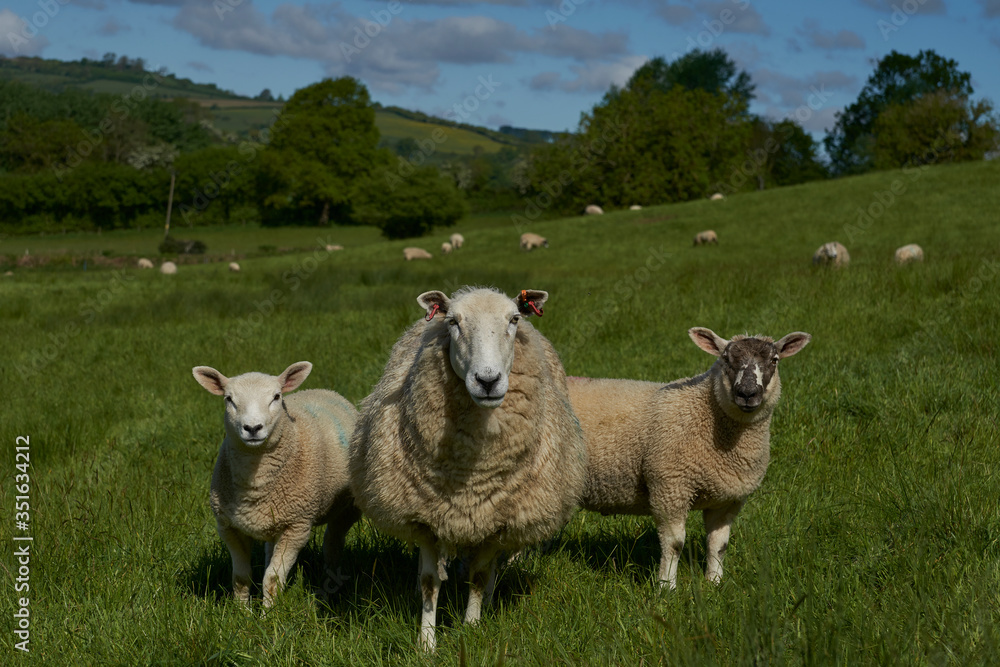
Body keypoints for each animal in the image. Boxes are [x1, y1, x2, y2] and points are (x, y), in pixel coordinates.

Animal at [192, 362, 360, 607]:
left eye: (276, 396)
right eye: (229, 399)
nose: (253, 428)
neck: (255, 480)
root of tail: (327, 391)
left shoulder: (296, 527)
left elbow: (272, 578)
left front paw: (268, 613)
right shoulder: (228, 527)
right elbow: (241, 577)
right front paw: (242, 612)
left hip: (347, 508)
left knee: (332, 544)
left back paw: (329, 588)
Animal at [349, 286, 587, 651]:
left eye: (513, 319)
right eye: (453, 322)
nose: (487, 381)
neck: (472, 476)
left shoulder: (497, 518)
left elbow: (479, 576)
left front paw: (472, 629)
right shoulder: (426, 517)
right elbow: (430, 581)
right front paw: (426, 643)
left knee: (492, 567)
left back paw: (487, 599)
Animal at [567, 327, 810, 590]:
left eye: (774, 360)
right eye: (726, 359)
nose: (747, 394)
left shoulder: (727, 499)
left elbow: (719, 545)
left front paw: (714, 583)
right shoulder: (670, 486)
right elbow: (674, 544)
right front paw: (667, 587)